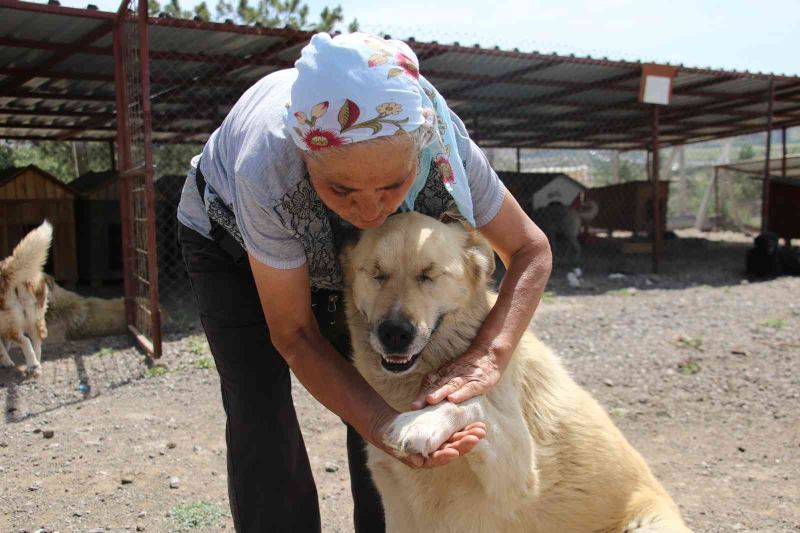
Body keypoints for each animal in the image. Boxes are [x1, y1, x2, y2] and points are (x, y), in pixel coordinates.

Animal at [0, 220, 52, 374]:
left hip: (9, 323)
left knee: (25, 341)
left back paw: (32, 365)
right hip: (35, 317)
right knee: (37, 340)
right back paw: (35, 365)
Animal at [340, 213, 692, 532]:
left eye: (428, 275)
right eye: (377, 273)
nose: (394, 333)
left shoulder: (518, 475)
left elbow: (472, 401)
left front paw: (424, 420)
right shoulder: (398, 501)